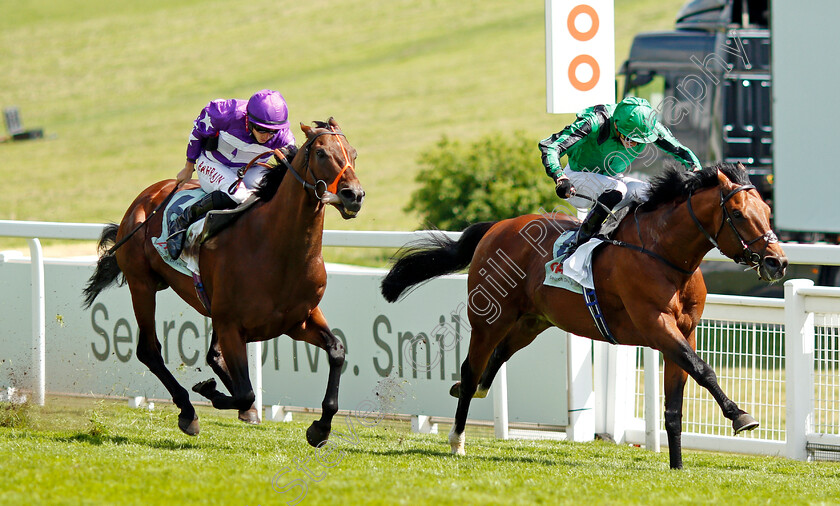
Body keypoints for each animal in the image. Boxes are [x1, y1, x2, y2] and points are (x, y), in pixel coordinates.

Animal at [81, 116, 364, 444]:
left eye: (353, 153)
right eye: (321, 153)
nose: (354, 196)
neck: (277, 248)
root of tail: (145, 197)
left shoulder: (298, 320)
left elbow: (337, 352)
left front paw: (320, 427)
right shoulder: (231, 324)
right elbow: (244, 392)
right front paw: (209, 392)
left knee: (213, 356)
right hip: (142, 285)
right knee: (149, 351)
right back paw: (188, 411)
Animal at [380, 164, 788, 468]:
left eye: (768, 212)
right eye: (737, 213)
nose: (777, 262)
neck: (664, 253)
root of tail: (496, 226)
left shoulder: (685, 331)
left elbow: (675, 403)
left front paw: (677, 466)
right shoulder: (656, 325)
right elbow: (703, 370)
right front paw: (739, 415)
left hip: (532, 322)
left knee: (494, 361)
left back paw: (477, 392)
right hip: (490, 318)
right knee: (469, 369)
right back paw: (457, 439)